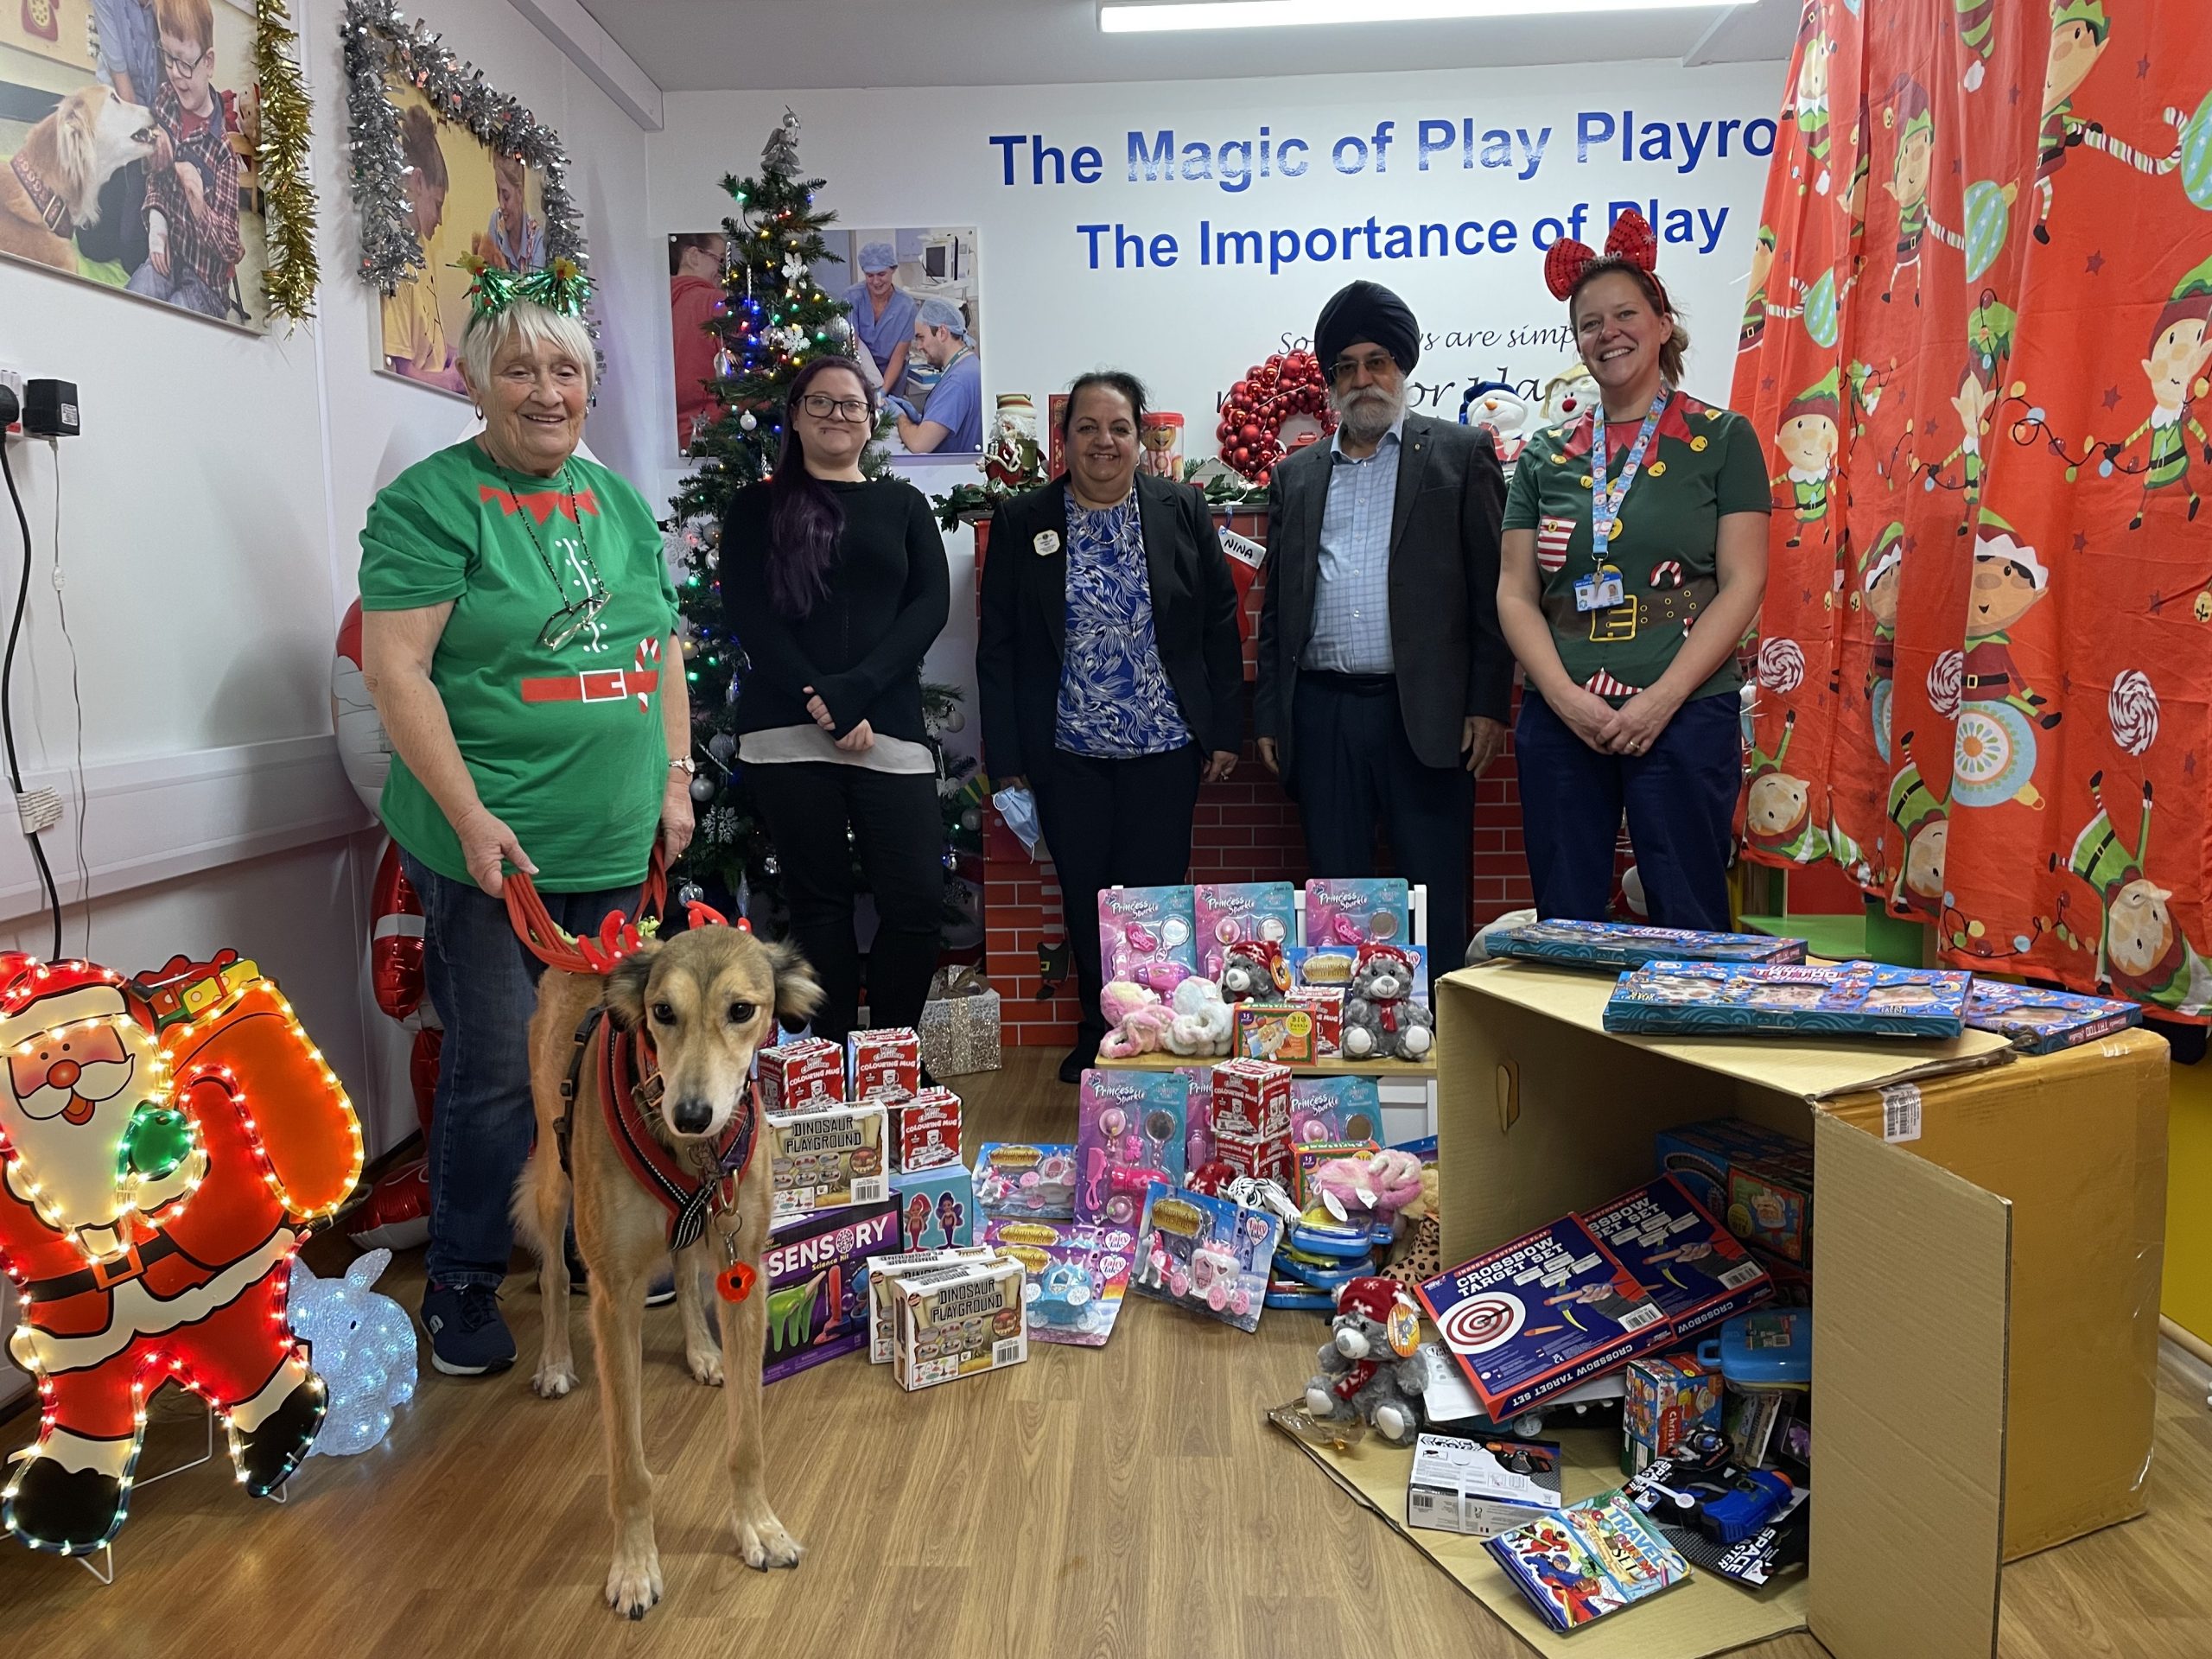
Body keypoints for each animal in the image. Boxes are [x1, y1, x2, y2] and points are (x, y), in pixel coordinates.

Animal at [512, 925, 827, 1628]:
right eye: (662, 1012)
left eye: (742, 1010)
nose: (691, 1114)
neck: (693, 1152)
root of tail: (577, 951)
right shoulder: (614, 1297)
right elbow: (629, 1468)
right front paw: (634, 1569)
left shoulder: (745, 1271)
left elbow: (747, 1442)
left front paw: (758, 1528)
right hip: (553, 1178)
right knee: (552, 1275)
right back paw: (554, 1361)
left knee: (683, 1268)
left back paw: (702, 1351)